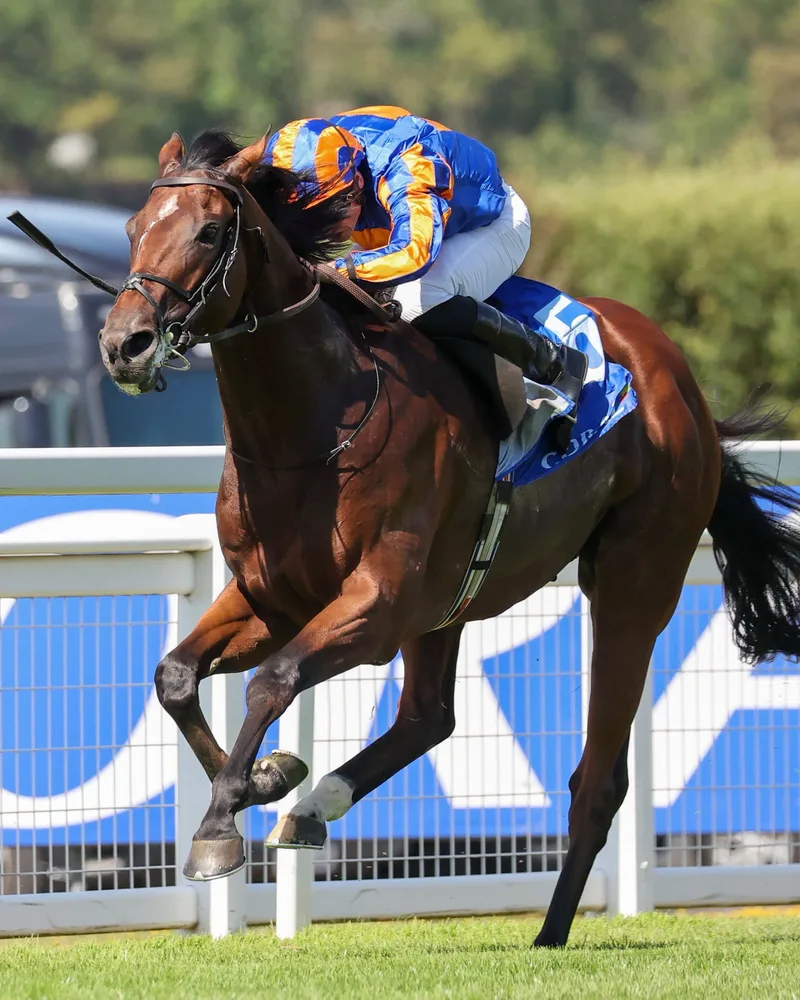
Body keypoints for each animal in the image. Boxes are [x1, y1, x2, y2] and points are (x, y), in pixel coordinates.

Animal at [95, 129, 800, 947]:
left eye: (209, 232)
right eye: (133, 229)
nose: (125, 344)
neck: (313, 424)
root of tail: (679, 380)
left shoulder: (377, 602)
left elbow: (273, 681)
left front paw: (218, 826)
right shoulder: (272, 596)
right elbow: (175, 675)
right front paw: (267, 779)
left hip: (633, 582)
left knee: (597, 778)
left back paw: (549, 933)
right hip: (449, 602)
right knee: (429, 716)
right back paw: (314, 806)